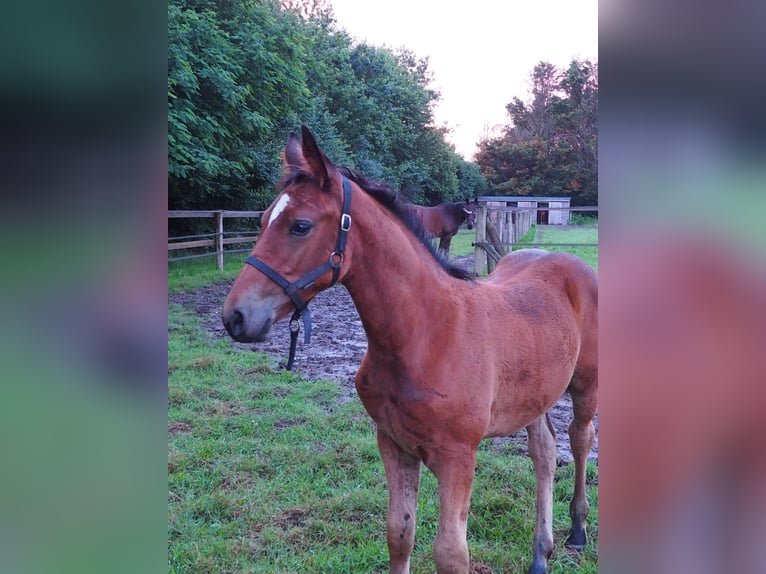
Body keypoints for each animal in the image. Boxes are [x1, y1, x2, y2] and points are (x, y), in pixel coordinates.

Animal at [222, 127, 600, 574]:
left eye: (300, 226)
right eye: (263, 220)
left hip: (586, 385)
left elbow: (450, 553)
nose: (236, 317)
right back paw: (541, 553)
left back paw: (578, 529)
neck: (424, 336)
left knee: (579, 439)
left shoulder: (458, 459)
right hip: (535, 393)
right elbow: (399, 533)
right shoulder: (394, 443)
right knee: (543, 452)